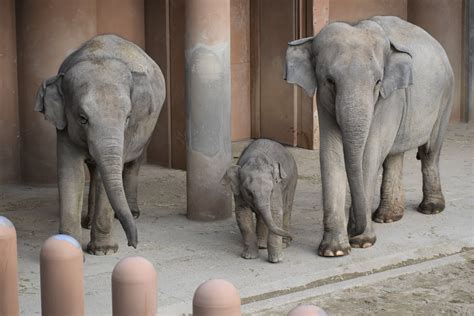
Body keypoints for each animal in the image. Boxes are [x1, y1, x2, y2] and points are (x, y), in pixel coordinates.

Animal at [35, 34, 166, 254]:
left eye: (128, 117)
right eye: (82, 118)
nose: (133, 244)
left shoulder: (129, 131)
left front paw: (104, 250)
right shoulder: (64, 126)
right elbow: (71, 173)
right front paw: (70, 248)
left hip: (149, 128)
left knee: (132, 164)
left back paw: (132, 213)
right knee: (95, 170)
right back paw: (88, 222)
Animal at [284, 15, 454, 256]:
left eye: (377, 82)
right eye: (330, 80)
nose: (353, 229)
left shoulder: (389, 97)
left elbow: (369, 156)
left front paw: (362, 242)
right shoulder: (323, 101)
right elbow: (331, 154)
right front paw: (335, 251)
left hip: (446, 97)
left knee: (430, 151)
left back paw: (431, 209)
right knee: (394, 156)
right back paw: (387, 217)